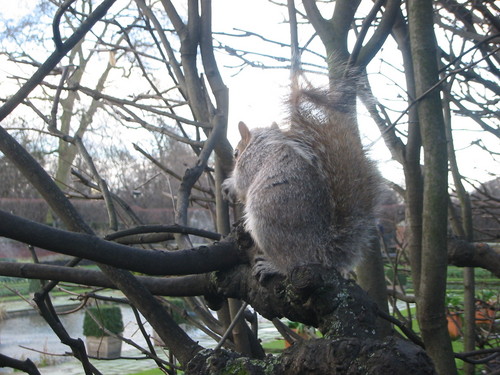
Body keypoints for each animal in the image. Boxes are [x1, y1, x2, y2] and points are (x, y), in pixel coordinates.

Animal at [221, 86, 380, 280]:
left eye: (236, 153)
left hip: (266, 219)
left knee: (291, 263)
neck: (264, 142)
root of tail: (320, 251)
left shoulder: (251, 162)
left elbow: (242, 184)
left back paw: (272, 266)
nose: (234, 157)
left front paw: (229, 185)